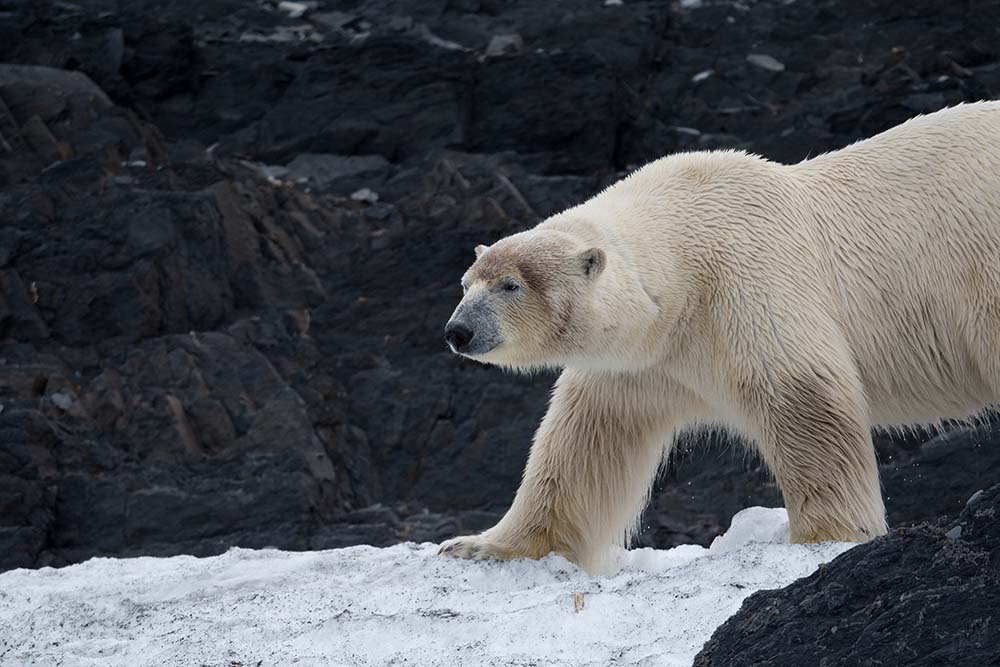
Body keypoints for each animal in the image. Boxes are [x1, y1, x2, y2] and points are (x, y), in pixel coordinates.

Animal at [438, 102, 1000, 572]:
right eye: (467, 283)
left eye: (511, 285)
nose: (458, 331)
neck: (687, 256)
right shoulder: (647, 361)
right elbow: (583, 441)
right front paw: (480, 546)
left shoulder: (750, 284)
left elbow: (808, 406)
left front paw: (824, 538)